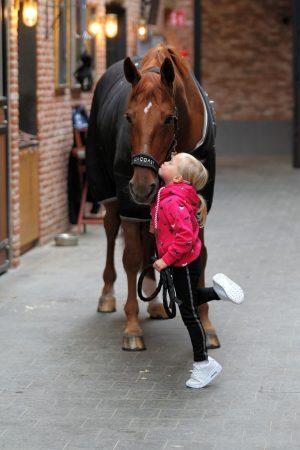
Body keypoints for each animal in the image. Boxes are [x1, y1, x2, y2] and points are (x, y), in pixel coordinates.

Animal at [85, 43, 219, 352]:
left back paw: (155, 299)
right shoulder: (128, 202)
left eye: (168, 118)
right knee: (111, 231)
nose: (141, 186)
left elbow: (200, 254)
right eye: (128, 117)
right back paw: (107, 294)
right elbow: (131, 257)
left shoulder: (202, 199)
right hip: (108, 191)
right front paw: (132, 327)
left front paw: (207, 324)